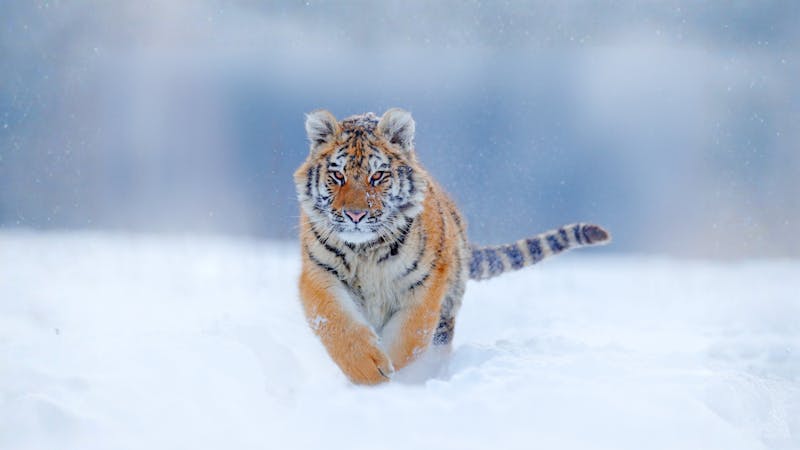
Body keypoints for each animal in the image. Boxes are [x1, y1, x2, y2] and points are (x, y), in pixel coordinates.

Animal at [294, 108, 610, 385]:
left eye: (378, 176)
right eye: (338, 175)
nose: (355, 215)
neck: (365, 251)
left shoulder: (426, 282)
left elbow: (410, 336)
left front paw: (400, 376)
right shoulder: (319, 275)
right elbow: (338, 325)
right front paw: (370, 372)